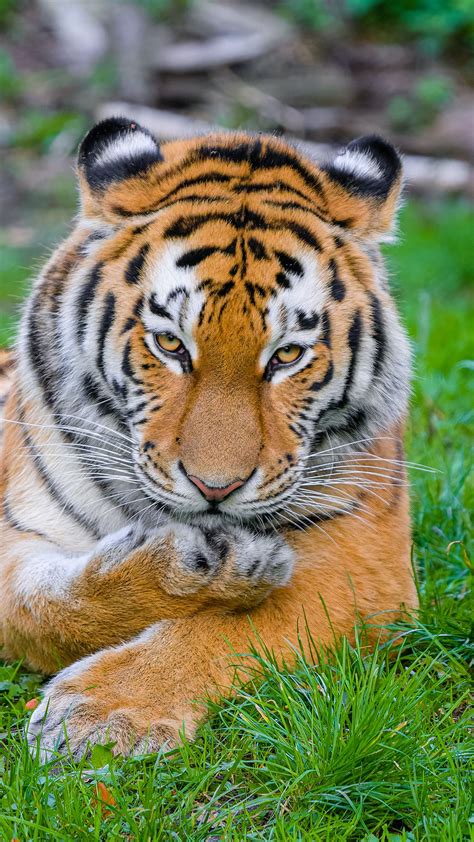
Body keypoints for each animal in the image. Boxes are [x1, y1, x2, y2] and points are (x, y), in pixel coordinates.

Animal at [0, 118, 416, 760]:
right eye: (170, 344)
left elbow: (248, 625)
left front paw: (102, 712)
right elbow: (47, 608)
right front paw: (202, 566)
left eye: (287, 355)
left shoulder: (365, 558)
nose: (214, 488)